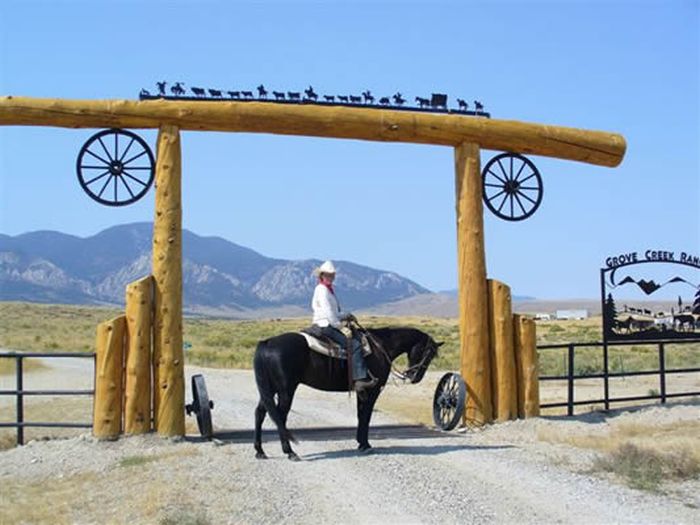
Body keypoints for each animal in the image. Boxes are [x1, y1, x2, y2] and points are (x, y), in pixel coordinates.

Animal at [252, 324, 440, 458]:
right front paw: (365, 445)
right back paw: (289, 452)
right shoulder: (373, 391)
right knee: (280, 416)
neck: (380, 347)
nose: (415, 377)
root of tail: (268, 342)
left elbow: (360, 415)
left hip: (270, 390)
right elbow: (366, 416)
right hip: (286, 390)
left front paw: (360, 443)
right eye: (428, 353)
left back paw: (260, 451)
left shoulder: (362, 391)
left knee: (260, 412)